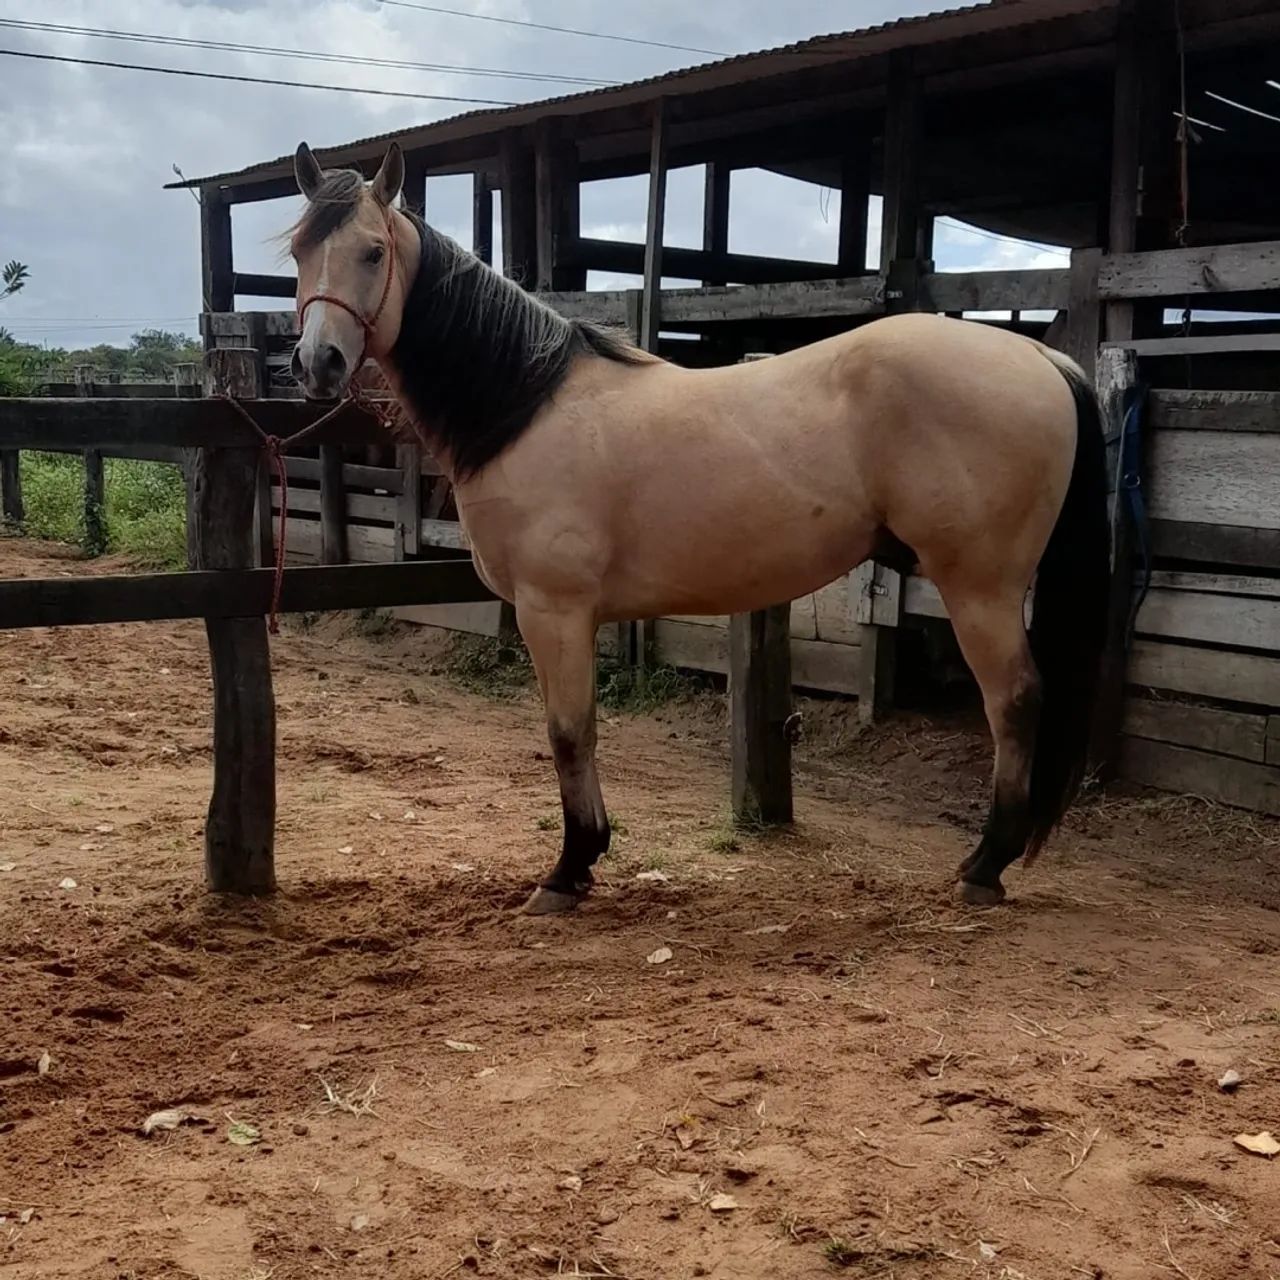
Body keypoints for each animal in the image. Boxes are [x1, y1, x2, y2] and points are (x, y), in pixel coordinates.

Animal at [286, 140, 1109, 915]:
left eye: (373, 251)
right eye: (297, 251)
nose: (317, 363)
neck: (525, 405)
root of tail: (1041, 357)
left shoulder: (553, 612)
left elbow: (568, 732)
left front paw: (568, 869)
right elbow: (576, 730)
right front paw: (586, 856)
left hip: (981, 588)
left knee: (1014, 704)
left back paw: (985, 866)